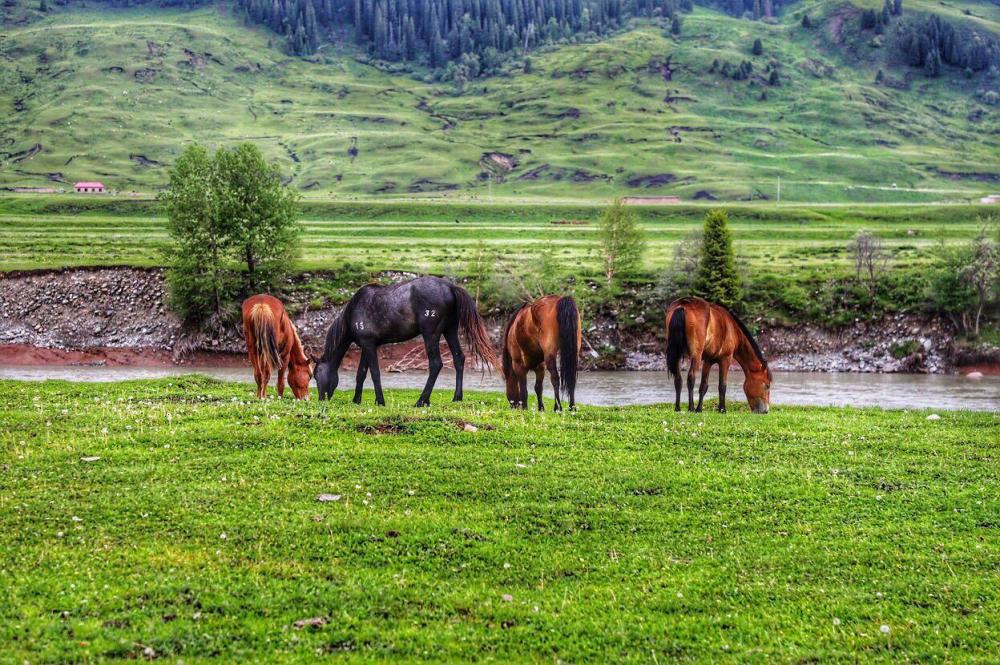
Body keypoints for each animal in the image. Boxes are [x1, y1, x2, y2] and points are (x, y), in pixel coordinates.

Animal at [314, 274, 498, 404]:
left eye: (316, 375)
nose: (321, 399)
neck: (353, 311)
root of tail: (451, 287)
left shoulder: (368, 345)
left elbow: (374, 373)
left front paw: (380, 401)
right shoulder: (368, 345)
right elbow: (361, 373)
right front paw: (356, 400)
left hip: (430, 333)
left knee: (436, 364)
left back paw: (422, 401)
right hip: (450, 330)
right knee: (459, 358)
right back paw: (456, 397)